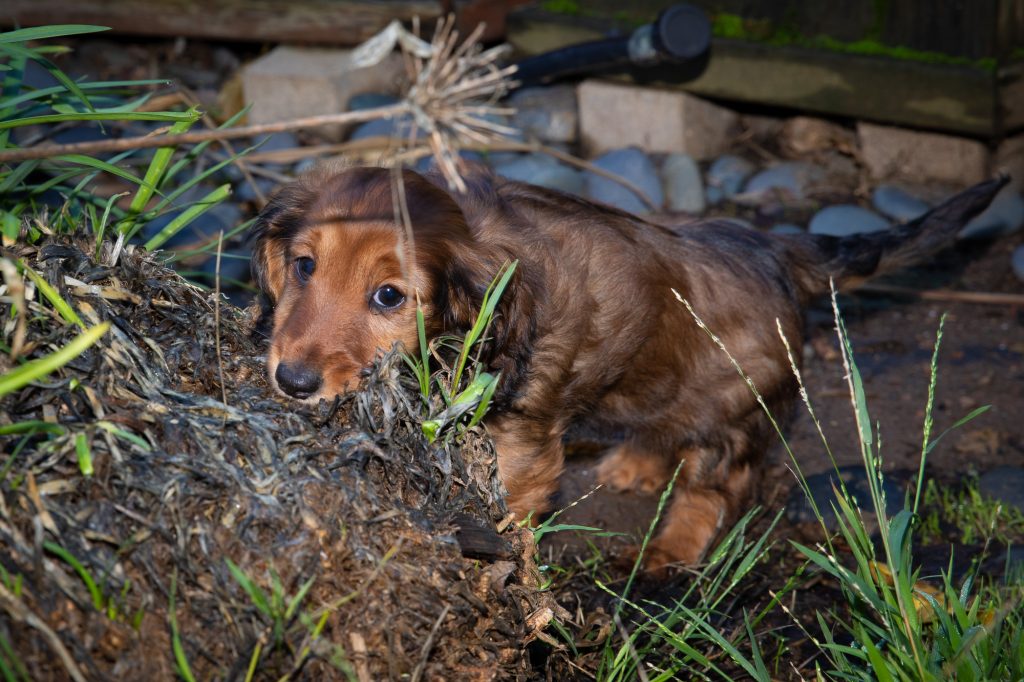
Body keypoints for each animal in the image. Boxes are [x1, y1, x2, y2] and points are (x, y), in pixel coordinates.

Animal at [251, 165, 1003, 569]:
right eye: (304, 266)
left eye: (388, 296)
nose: (293, 382)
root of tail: (773, 248)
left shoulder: (523, 439)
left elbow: (510, 513)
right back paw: (638, 461)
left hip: (737, 406)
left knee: (719, 484)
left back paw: (673, 552)